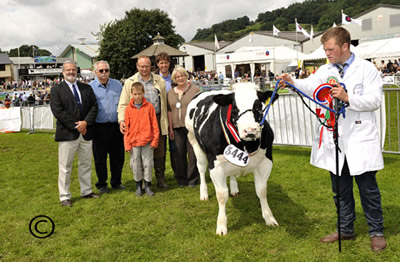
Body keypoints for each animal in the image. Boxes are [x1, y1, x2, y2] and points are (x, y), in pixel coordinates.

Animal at [186, 82, 280, 235]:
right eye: (235, 108)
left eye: (258, 107)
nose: (250, 131)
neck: (246, 146)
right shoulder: (216, 166)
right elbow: (222, 195)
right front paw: (221, 225)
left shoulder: (266, 161)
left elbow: (261, 190)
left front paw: (269, 217)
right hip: (194, 142)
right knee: (201, 169)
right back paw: (203, 193)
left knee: (232, 174)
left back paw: (234, 188)